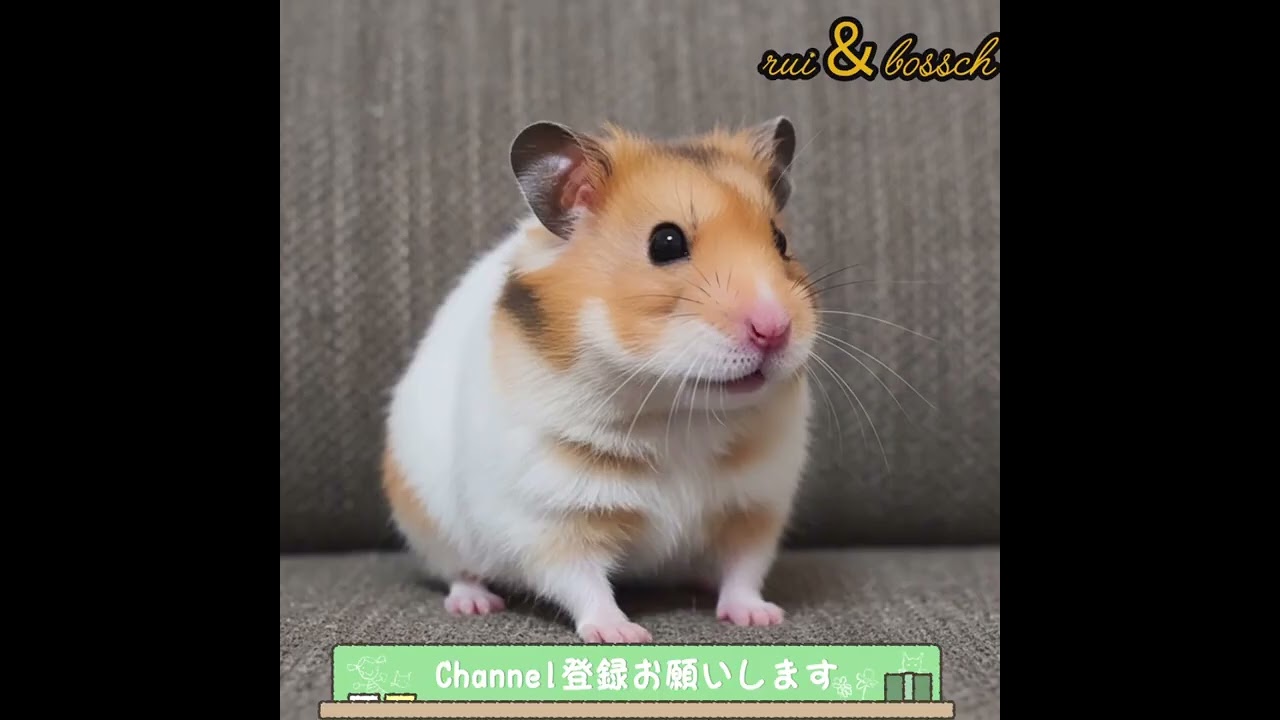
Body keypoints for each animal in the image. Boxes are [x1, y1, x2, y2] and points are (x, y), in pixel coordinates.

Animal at [382, 117, 818, 643]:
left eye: (780, 242)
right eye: (665, 242)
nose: (774, 329)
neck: (677, 413)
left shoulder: (754, 505)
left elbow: (744, 568)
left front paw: (761, 616)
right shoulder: (549, 516)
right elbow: (580, 580)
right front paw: (623, 634)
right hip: (431, 526)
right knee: (458, 571)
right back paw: (475, 603)